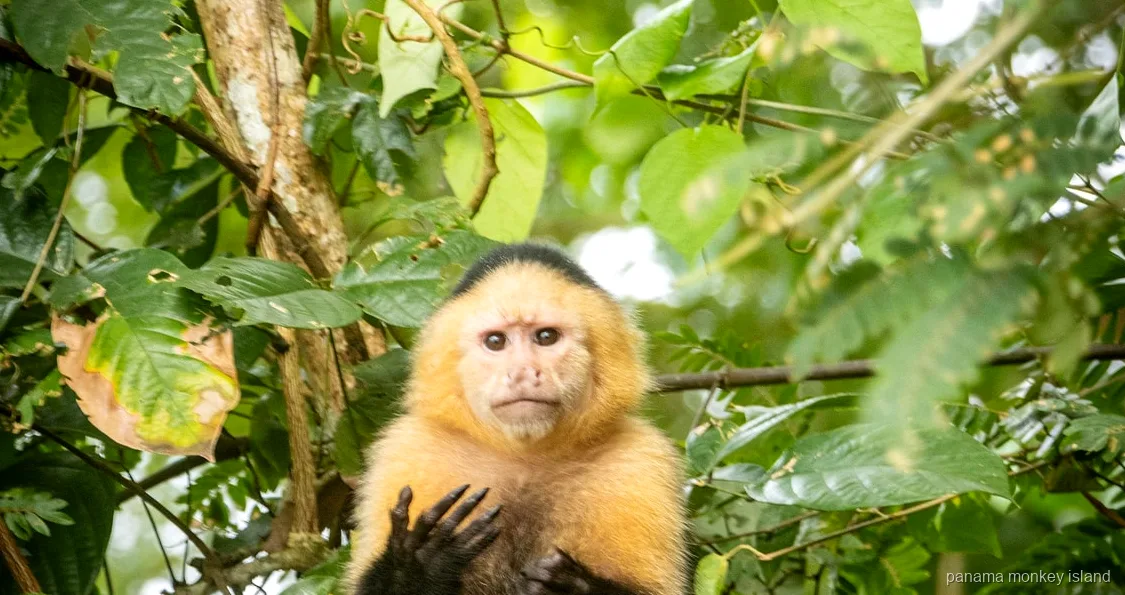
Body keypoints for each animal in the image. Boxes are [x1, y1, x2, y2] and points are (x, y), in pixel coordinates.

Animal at [345, 243, 688, 595]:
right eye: (496, 341)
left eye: (546, 337)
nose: (522, 371)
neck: (525, 455)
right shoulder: (408, 448)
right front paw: (422, 561)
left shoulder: (640, 458)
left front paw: (569, 585)